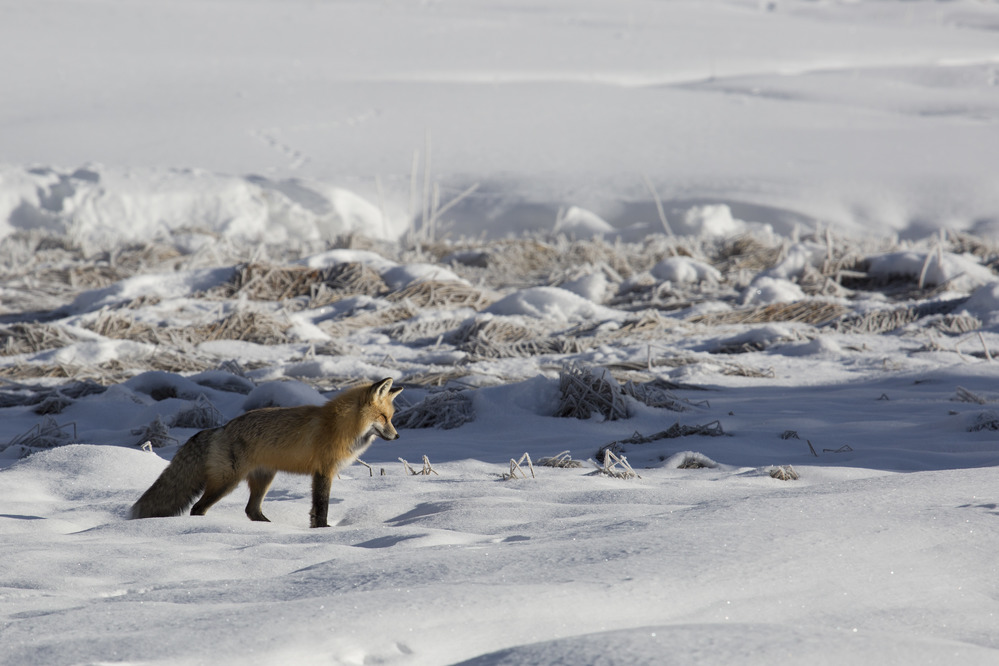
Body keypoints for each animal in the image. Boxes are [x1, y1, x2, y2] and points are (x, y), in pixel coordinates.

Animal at [129, 377, 403, 528]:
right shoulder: (323, 471)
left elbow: (316, 509)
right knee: (198, 507)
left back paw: (269, 529)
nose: (398, 437)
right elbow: (321, 507)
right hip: (227, 482)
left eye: (391, 418)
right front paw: (323, 530)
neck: (339, 426)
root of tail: (221, 428)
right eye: (383, 417)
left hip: (263, 479)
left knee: (251, 510)